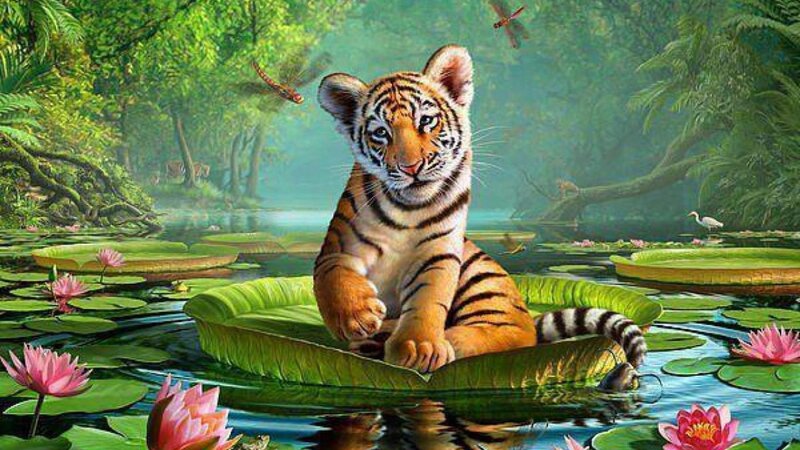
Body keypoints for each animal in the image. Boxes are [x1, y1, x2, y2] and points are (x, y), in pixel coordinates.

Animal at [314, 45, 647, 374]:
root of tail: (531, 317)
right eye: (381, 133)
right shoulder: (337, 247)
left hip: (483, 280)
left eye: (426, 121)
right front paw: (357, 317)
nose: (411, 167)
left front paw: (419, 347)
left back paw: (432, 340)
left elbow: (428, 299)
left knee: (511, 334)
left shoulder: (438, 254)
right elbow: (333, 277)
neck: (408, 209)